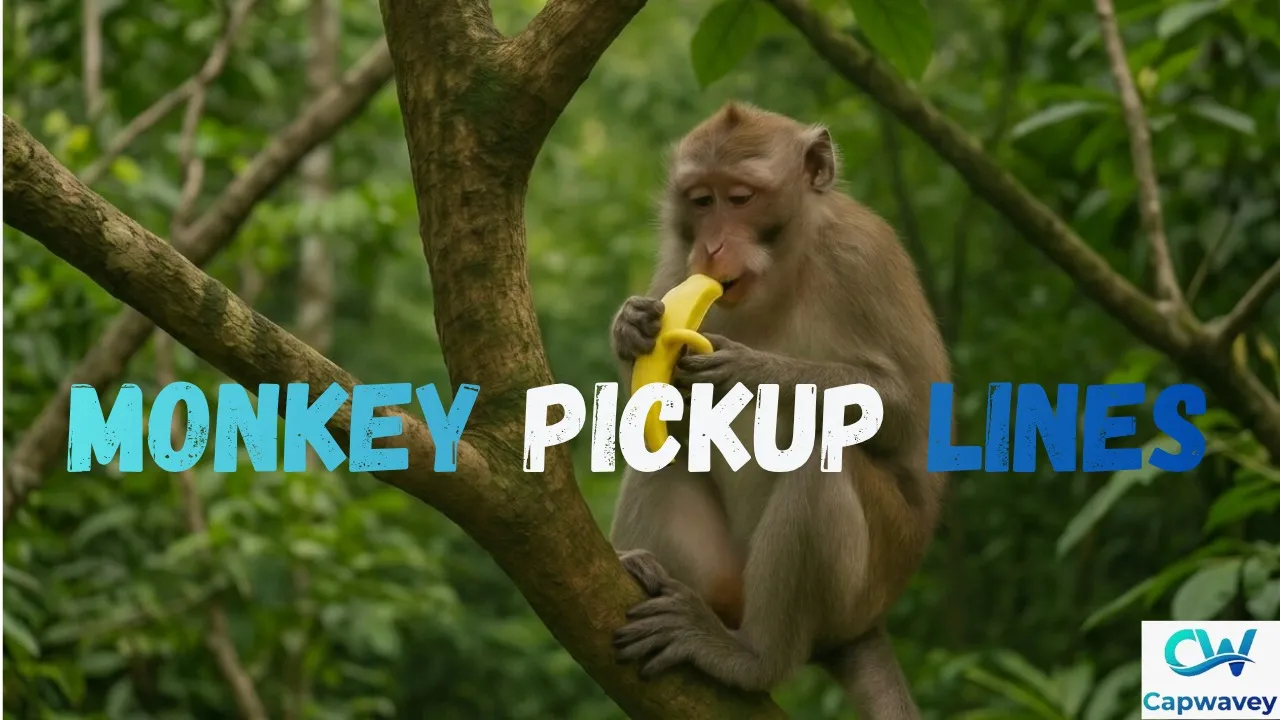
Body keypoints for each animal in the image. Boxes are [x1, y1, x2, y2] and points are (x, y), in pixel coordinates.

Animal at [606, 101, 950, 719]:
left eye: (741, 198)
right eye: (701, 200)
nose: (710, 249)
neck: (785, 271)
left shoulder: (862, 255)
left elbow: (908, 414)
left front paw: (754, 370)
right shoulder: (676, 261)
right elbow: (657, 408)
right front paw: (630, 328)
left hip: (866, 583)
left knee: (820, 455)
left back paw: (751, 658)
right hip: (731, 579)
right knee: (660, 442)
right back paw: (639, 567)